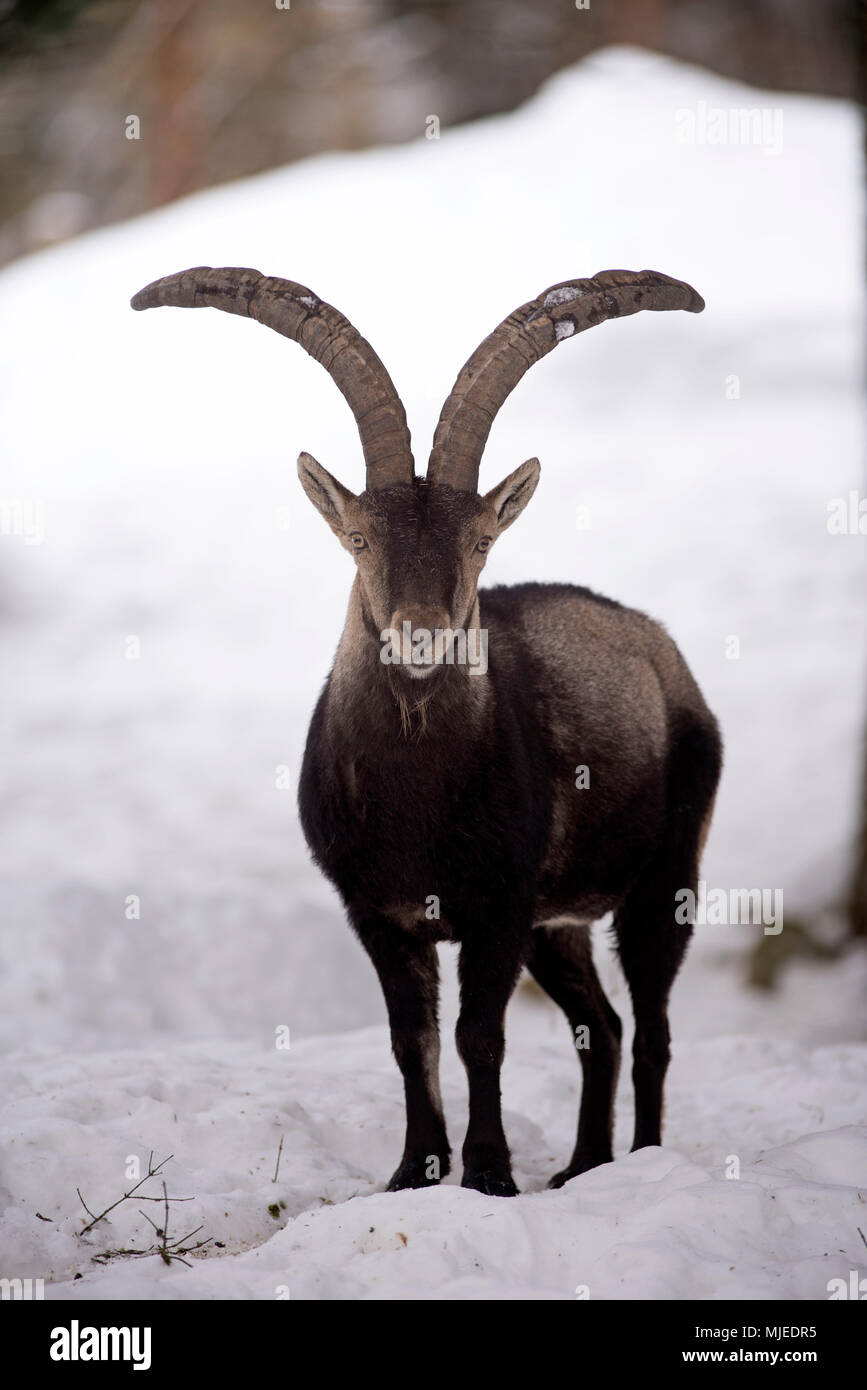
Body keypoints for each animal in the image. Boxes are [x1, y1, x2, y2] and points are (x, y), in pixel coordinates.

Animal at [132, 266, 722, 1197]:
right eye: (358, 537)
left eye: (479, 542)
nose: (419, 637)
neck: (415, 797)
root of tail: (656, 644)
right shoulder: (381, 913)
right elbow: (410, 1042)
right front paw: (415, 1170)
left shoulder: (497, 904)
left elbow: (479, 1036)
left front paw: (486, 1175)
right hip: (557, 926)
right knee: (600, 1025)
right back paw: (582, 1166)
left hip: (663, 874)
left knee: (652, 1027)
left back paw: (641, 1162)